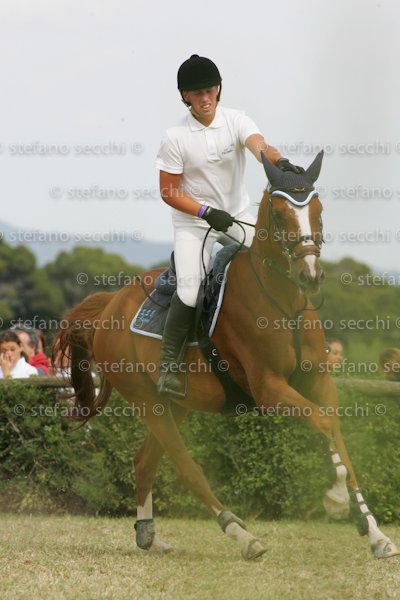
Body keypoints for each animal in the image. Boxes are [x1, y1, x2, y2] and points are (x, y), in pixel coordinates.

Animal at [55, 151, 399, 560]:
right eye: (280, 215)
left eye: (319, 209)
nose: (310, 275)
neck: (285, 302)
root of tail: (111, 302)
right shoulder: (269, 389)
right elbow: (323, 423)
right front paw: (335, 500)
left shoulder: (319, 381)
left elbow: (336, 435)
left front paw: (374, 532)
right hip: (146, 401)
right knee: (186, 468)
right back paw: (241, 534)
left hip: (176, 404)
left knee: (144, 463)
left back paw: (149, 536)